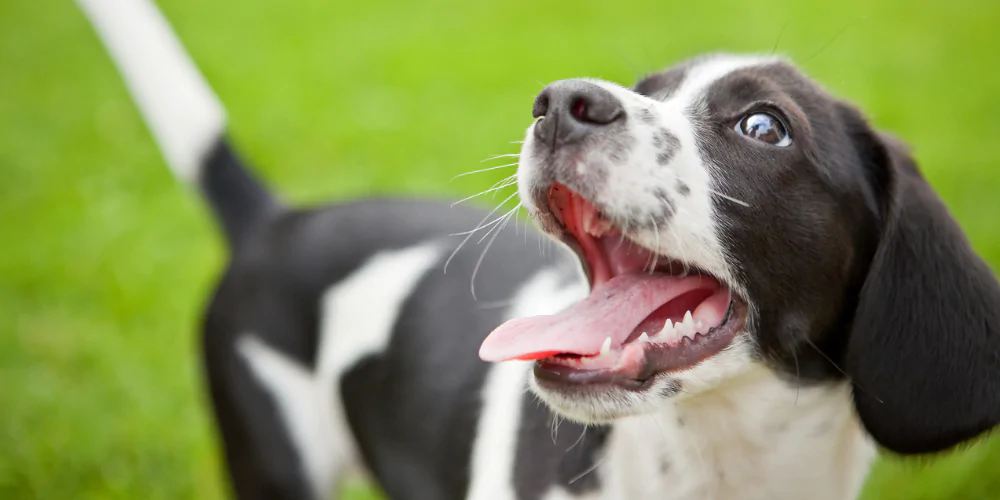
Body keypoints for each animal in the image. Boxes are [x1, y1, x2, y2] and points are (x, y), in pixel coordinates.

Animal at [82, 0, 1000, 500]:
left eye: (763, 126)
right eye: (648, 89)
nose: (562, 101)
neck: (716, 467)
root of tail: (279, 220)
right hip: (274, 455)